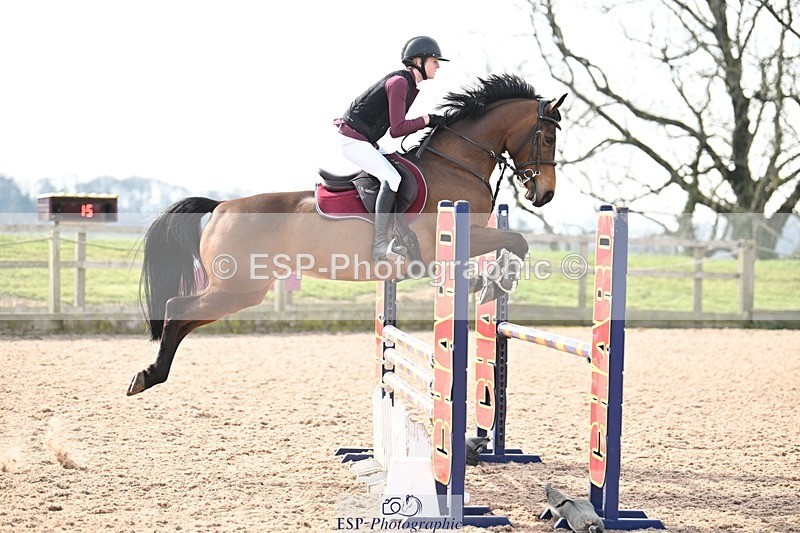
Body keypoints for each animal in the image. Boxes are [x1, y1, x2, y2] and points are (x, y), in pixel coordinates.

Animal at [127, 74, 566, 396]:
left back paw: (149, 374)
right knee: (176, 307)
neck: (456, 163)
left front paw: (489, 282)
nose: (543, 194)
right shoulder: (456, 238)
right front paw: (495, 282)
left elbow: (512, 246)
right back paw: (148, 376)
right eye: (548, 138)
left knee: (183, 314)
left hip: (239, 289)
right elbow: (518, 242)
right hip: (239, 287)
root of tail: (219, 207)